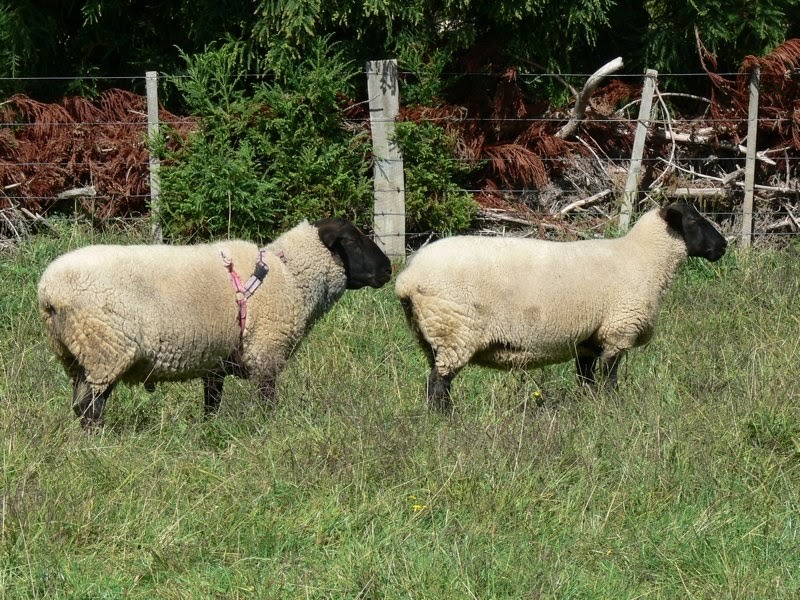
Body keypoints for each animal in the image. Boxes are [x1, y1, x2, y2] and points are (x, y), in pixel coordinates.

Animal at [38, 218, 392, 426]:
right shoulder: (266, 352)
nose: (388, 269)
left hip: (76, 355)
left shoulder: (216, 361)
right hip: (105, 350)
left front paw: (210, 432)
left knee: (80, 404)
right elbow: (267, 402)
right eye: (353, 241)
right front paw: (270, 431)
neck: (291, 276)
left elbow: (212, 404)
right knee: (91, 408)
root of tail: (48, 290)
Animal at [394, 203, 727, 411]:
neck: (644, 259)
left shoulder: (589, 341)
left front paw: (590, 407)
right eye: (694, 221)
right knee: (438, 384)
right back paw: (447, 422)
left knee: (436, 380)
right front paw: (614, 408)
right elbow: (610, 379)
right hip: (454, 331)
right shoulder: (617, 332)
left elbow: (586, 380)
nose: (723, 246)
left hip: (431, 335)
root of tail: (407, 279)